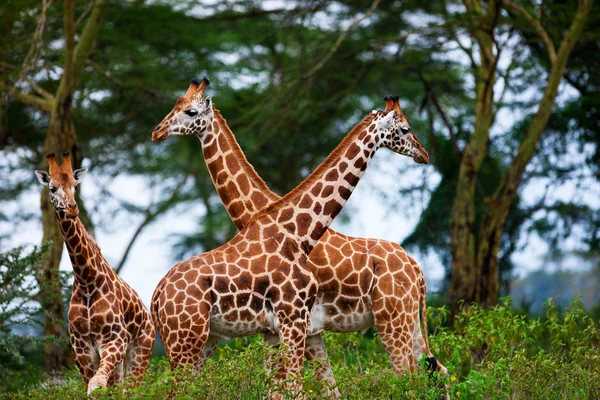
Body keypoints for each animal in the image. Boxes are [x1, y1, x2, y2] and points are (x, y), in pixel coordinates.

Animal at [33, 153, 156, 394]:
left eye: (75, 185)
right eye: (52, 188)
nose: (72, 208)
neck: (87, 279)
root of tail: (148, 316)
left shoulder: (115, 337)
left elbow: (97, 385)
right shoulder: (81, 347)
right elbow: (94, 385)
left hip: (140, 351)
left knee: (130, 388)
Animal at [150, 78, 446, 396]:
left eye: (190, 111)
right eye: (405, 128)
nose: (423, 154)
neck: (297, 229)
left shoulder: (290, 326)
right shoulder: (290, 326)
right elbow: (302, 390)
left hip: (397, 319)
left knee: (424, 373)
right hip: (191, 339)